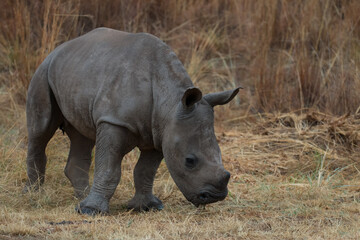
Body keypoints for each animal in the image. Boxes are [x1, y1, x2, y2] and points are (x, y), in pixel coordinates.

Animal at [23, 27, 240, 215]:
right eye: (190, 161)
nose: (214, 196)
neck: (170, 103)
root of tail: (59, 48)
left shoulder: (159, 132)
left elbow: (145, 170)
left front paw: (147, 207)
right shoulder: (114, 121)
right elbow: (109, 169)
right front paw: (92, 212)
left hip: (77, 73)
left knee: (82, 136)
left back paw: (81, 199)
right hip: (43, 72)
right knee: (41, 130)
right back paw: (35, 194)